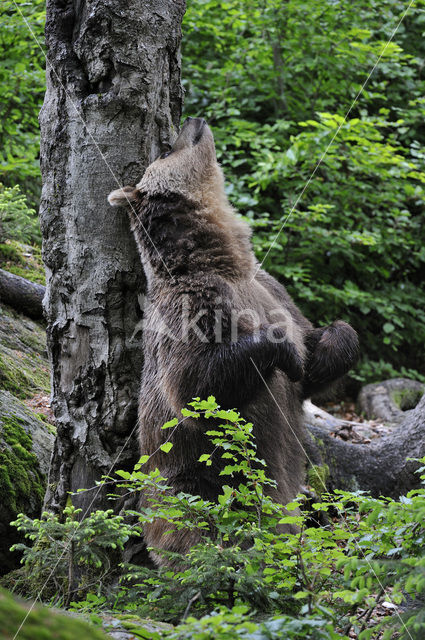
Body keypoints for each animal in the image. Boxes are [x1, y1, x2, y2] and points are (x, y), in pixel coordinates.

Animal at [107, 117, 358, 564]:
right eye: (166, 150)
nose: (193, 119)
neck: (223, 259)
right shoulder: (192, 308)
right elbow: (194, 385)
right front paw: (284, 352)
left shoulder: (273, 292)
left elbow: (313, 360)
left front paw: (328, 344)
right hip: (194, 475)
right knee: (197, 520)